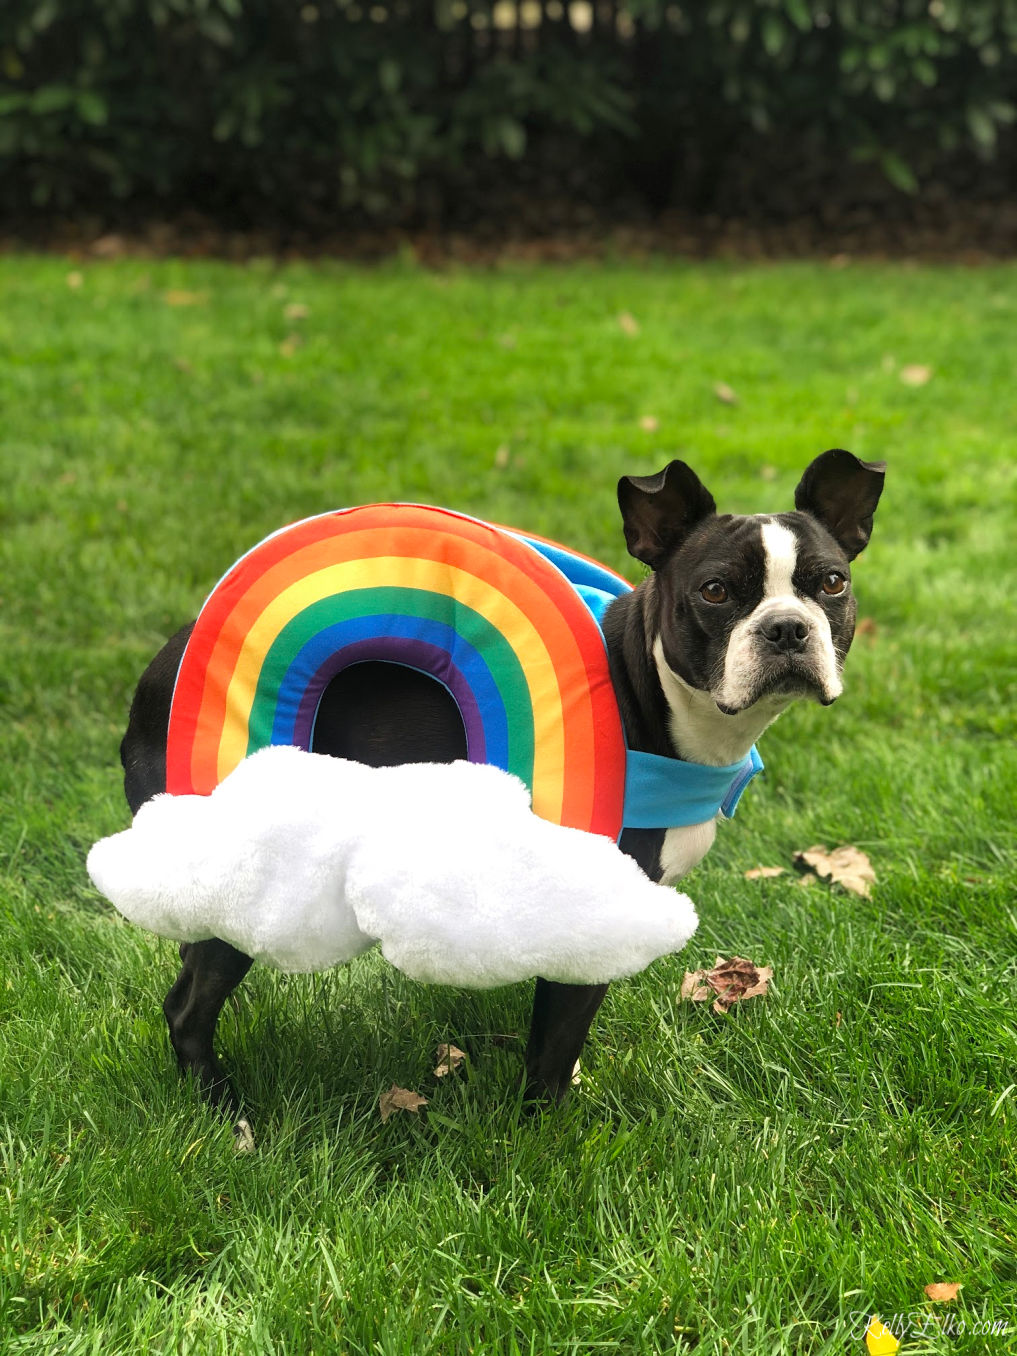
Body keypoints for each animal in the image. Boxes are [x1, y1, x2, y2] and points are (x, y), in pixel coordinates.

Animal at [117, 442, 884, 1122]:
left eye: (831, 584)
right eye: (715, 591)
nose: (786, 628)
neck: (658, 695)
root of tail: (158, 668)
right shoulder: (589, 911)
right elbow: (554, 1044)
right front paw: (548, 1138)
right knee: (188, 1005)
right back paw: (224, 1112)